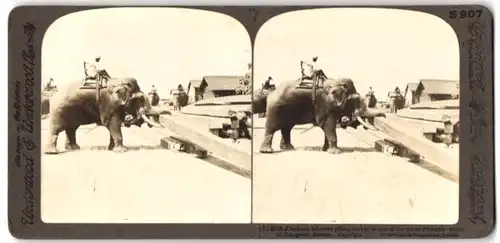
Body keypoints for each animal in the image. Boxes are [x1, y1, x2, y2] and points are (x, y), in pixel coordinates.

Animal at [254, 78, 386, 154]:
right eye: (355, 100)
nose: (384, 116)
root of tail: (270, 93)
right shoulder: (324, 104)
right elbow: (328, 125)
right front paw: (336, 152)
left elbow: (328, 127)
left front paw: (325, 149)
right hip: (275, 108)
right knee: (272, 128)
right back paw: (267, 151)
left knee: (286, 128)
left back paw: (289, 148)